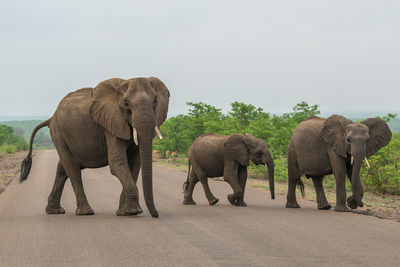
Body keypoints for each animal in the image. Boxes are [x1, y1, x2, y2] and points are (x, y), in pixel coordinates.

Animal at [19, 77, 170, 218]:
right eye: (126, 103)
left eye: (155, 101)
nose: (156, 215)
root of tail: (51, 118)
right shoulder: (110, 123)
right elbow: (117, 163)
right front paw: (133, 212)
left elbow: (134, 164)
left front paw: (124, 212)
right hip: (58, 132)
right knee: (72, 168)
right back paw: (85, 212)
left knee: (62, 169)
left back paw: (54, 211)